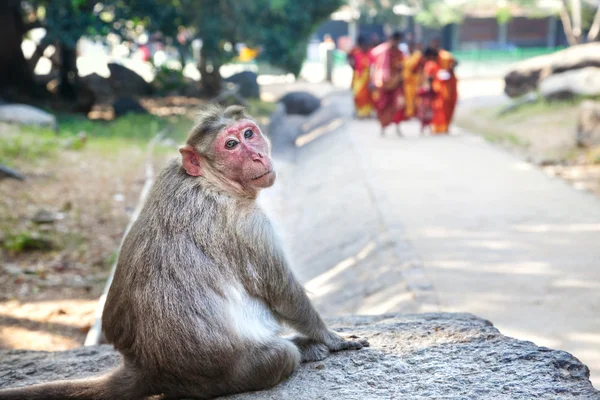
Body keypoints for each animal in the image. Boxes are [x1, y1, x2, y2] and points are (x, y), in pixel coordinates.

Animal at [0, 104, 368, 400]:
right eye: (231, 145)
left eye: (249, 133)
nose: (258, 156)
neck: (209, 179)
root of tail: (148, 368)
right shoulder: (249, 225)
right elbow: (283, 294)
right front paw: (332, 338)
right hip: (224, 373)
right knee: (280, 357)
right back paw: (298, 350)